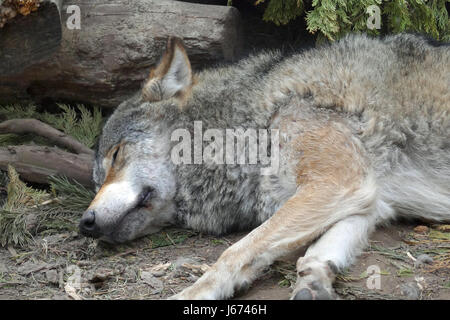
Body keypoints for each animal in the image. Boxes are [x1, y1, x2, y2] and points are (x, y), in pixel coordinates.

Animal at [79, 34, 450, 300]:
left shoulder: (339, 182)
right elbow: (321, 248)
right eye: (97, 180)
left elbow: (235, 251)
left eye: (116, 156)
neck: (256, 118)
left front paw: (194, 292)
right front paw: (314, 278)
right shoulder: (369, 197)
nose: (86, 223)